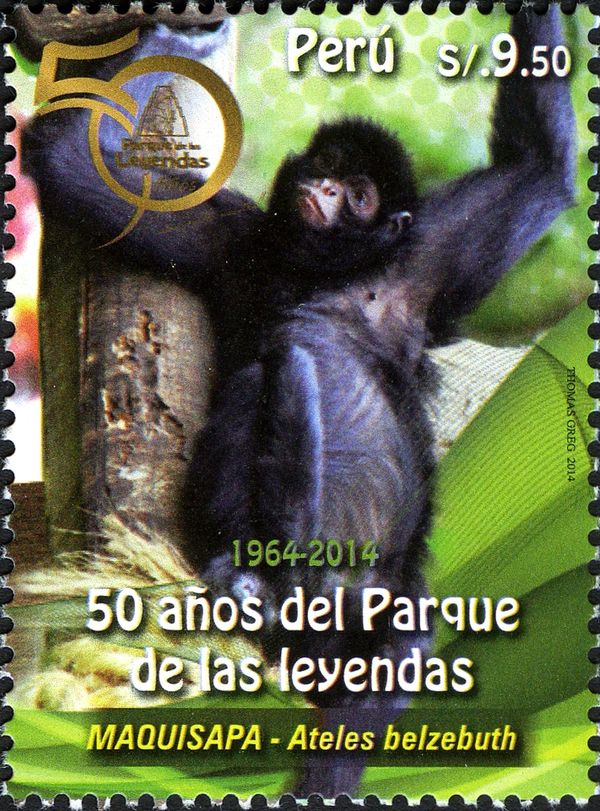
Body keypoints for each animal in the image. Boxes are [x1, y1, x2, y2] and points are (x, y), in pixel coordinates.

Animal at [20, 6, 575, 798]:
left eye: (360, 192)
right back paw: (258, 580)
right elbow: (65, 156)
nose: (328, 191)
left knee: (397, 646)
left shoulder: (424, 258)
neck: (325, 277)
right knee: (271, 372)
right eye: (327, 171)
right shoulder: (234, 234)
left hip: (383, 589)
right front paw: (181, 34)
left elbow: (538, 168)